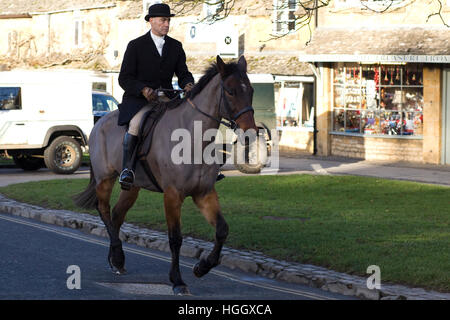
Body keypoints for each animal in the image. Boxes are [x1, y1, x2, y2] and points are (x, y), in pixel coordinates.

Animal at [73, 55, 256, 296]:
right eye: (231, 91)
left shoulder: (204, 193)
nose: (251, 132)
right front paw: (177, 280)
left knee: (116, 215)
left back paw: (116, 260)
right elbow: (175, 238)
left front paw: (202, 267)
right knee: (103, 210)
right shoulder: (172, 195)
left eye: (251, 90)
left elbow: (222, 230)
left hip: (132, 187)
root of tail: (99, 123)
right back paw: (118, 256)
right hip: (105, 179)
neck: (192, 138)